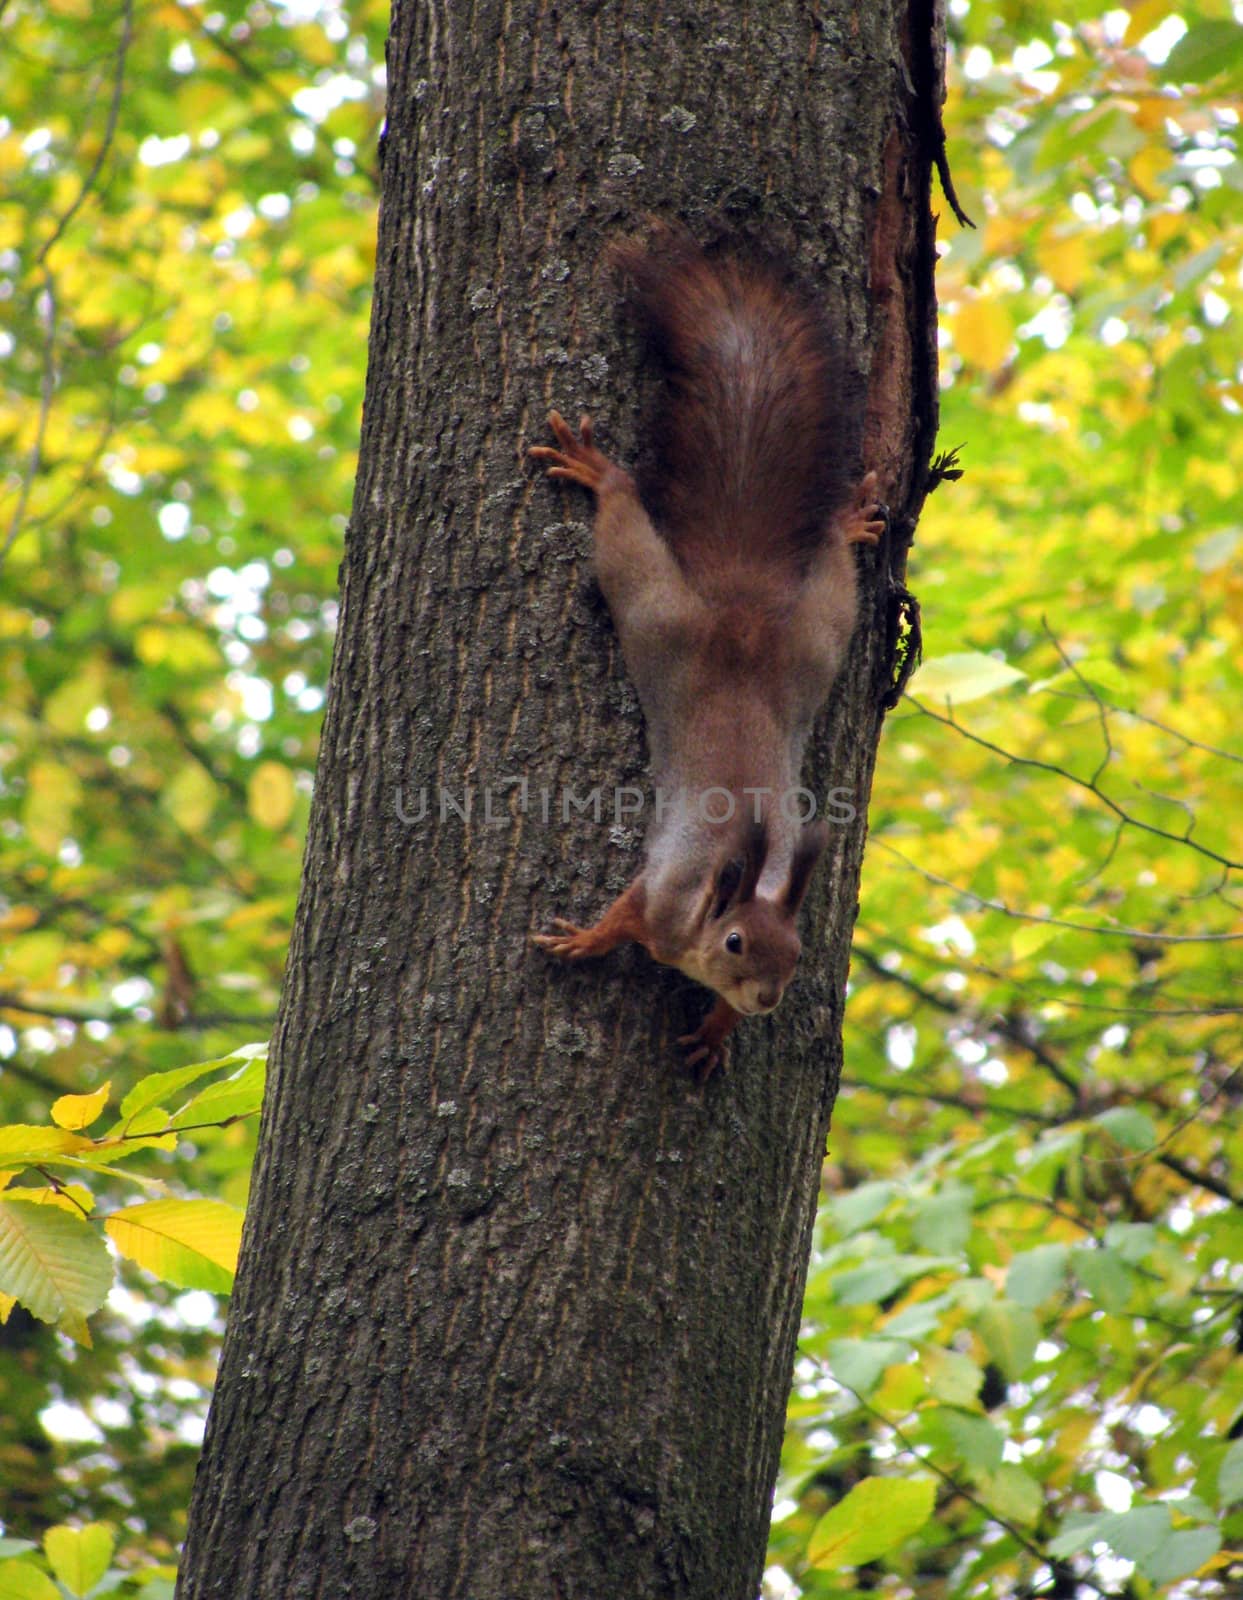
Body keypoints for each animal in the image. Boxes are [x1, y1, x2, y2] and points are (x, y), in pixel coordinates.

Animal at [524, 232, 883, 1081]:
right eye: (735, 942)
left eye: (797, 955)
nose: (768, 1000)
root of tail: (739, 613)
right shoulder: (661, 895)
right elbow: (622, 916)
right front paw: (582, 940)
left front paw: (717, 1031)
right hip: (659, 612)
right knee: (625, 532)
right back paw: (598, 473)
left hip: (814, 639)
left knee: (831, 573)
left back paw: (846, 525)